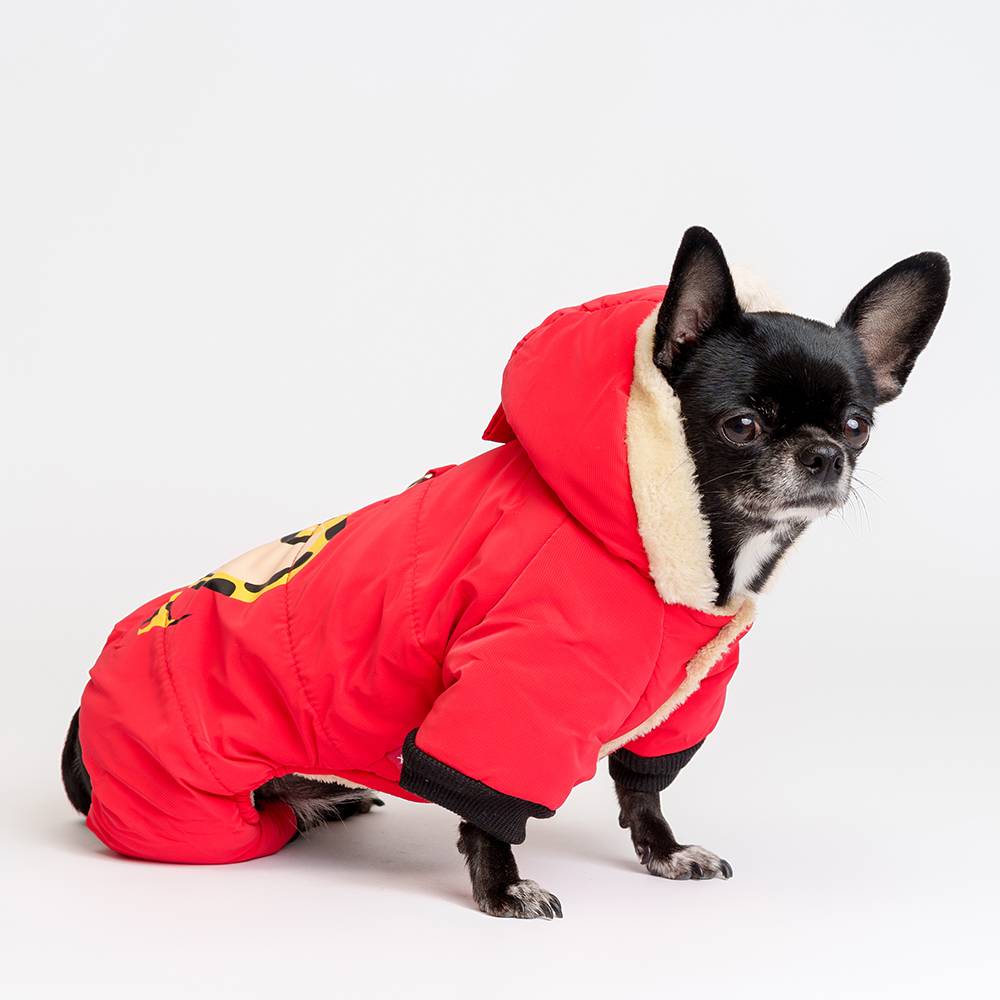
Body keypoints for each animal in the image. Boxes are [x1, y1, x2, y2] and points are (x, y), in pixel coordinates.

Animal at [63, 226, 949, 919]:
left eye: (857, 425)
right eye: (741, 425)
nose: (825, 455)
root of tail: (77, 741)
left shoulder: (676, 704)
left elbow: (644, 789)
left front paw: (663, 853)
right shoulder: (512, 689)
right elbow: (490, 810)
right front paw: (502, 890)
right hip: (198, 820)